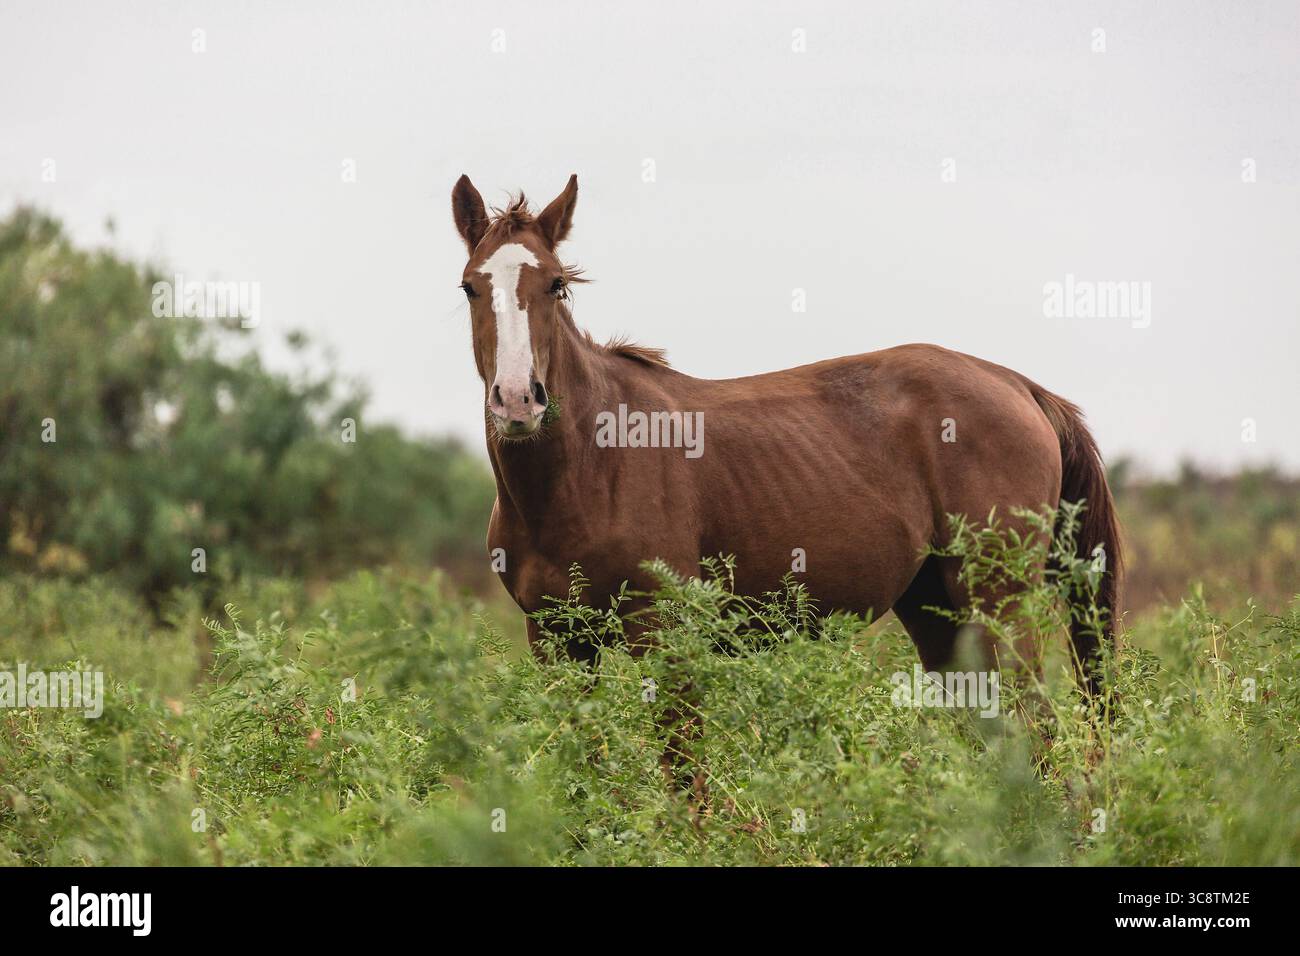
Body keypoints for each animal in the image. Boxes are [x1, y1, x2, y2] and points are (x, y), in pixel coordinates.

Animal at [451, 173, 1122, 691]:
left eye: (556, 284)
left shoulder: (664, 632)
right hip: (937, 613)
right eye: (470, 287)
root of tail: (1018, 385)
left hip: (999, 606)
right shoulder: (557, 641)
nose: (518, 401)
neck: (590, 468)